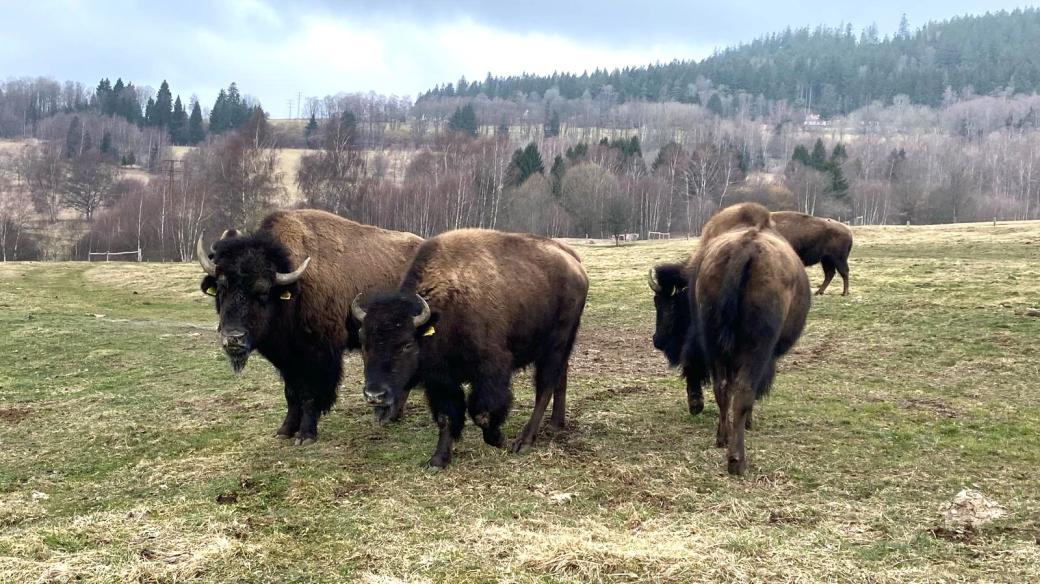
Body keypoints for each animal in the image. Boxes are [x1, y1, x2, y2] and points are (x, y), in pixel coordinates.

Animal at [195, 207, 422, 440]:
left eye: (263, 291)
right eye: (222, 287)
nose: (233, 338)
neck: (293, 290)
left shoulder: (318, 355)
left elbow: (310, 394)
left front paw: (306, 435)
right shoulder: (287, 359)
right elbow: (291, 393)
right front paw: (285, 430)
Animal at [351, 228, 586, 467]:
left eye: (407, 344)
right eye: (363, 342)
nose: (374, 394)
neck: (445, 308)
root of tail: (575, 265)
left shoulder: (491, 370)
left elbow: (482, 413)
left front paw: (499, 439)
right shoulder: (441, 380)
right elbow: (447, 416)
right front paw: (438, 460)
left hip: (555, 345)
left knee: (544, 388)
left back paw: (524, 441)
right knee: (560, 377)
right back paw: (555, 424)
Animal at [648, 202, 811, 469]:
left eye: (666, 304)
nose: (657, 340)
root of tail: (744, 250)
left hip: (715, 341)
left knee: (722, 387)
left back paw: (721, 437)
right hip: (756, 347)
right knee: (742, 391)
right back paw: (736, 459)